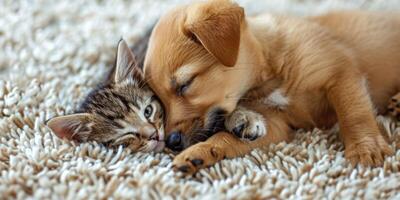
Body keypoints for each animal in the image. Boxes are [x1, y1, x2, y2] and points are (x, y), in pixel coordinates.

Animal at [145, 0, 400, 174]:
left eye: (185, 84)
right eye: (159, 100)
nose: (171, 142)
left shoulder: (341, 72)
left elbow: (354, 115)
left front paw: (365, 149)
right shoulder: (277, 124)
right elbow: (224, 139)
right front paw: (198, 153)